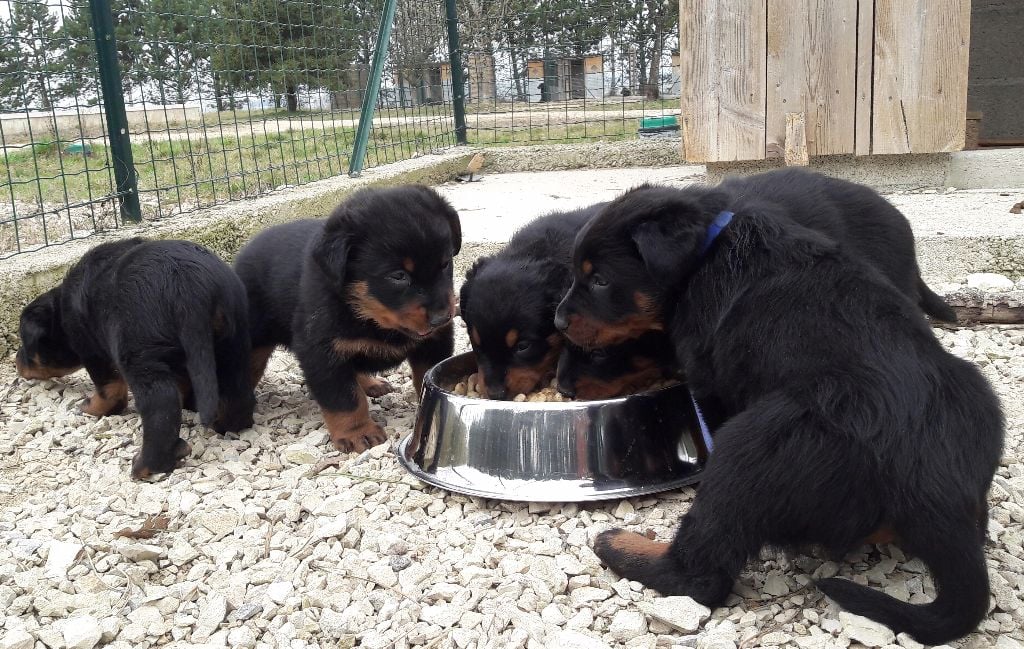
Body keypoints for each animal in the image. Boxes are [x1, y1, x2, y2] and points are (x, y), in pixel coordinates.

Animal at [16, 236, 256, 474]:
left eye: (25, 344)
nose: (16, 362)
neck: (61, 311)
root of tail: (191, 288)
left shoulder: (92, 350)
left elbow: (109, 389)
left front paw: (91, 407)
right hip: (232, 341)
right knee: (236, 390)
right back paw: (226, 425)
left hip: (139, 352)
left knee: (160, 404)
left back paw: (146, 466)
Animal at [235, 184, 460, 452]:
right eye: (398, 276)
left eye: (445, 263)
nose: (442, 318)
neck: (369, 315)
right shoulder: (321, 352)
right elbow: (345, 398)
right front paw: (358, 433)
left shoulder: (434, 343)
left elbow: (425, 377)